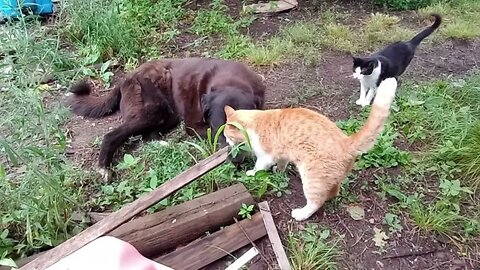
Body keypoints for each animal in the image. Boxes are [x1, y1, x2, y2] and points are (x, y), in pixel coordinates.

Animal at [66, 57, 266, 180]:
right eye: (220, 131)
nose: (238, 161)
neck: (231, 81)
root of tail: (126, 79)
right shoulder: (193, 126)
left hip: (168, 115)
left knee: (148, 135)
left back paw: (165, 144)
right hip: (154, 110)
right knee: (112, 135)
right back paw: (104, 168)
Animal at [223, 77, 400, 220]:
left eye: (227, 136)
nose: (226, 143)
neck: (255, 122)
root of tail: (346, 141)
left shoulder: (265, 156)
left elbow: (259, 167)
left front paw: (251, 173)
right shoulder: (283, 155)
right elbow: (281, 164)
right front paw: (279, 171)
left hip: (312, 179)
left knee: (316, 202)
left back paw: (301, 214)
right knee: (333, 191)